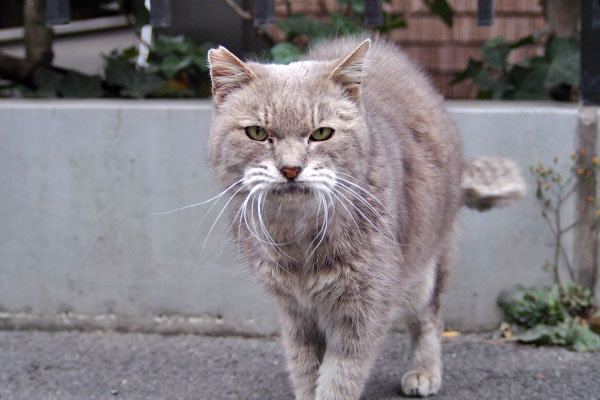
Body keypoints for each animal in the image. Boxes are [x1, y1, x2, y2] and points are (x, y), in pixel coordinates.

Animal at [204, 36, 524, 398]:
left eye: (322, 133)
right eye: (257, 133)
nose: (290, 169)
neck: (301, 239)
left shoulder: (365, 307)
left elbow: (340, 377)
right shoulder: (295, 312)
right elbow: (304, 368)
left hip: (425, 272)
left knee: (430, 317)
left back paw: (423, 372)